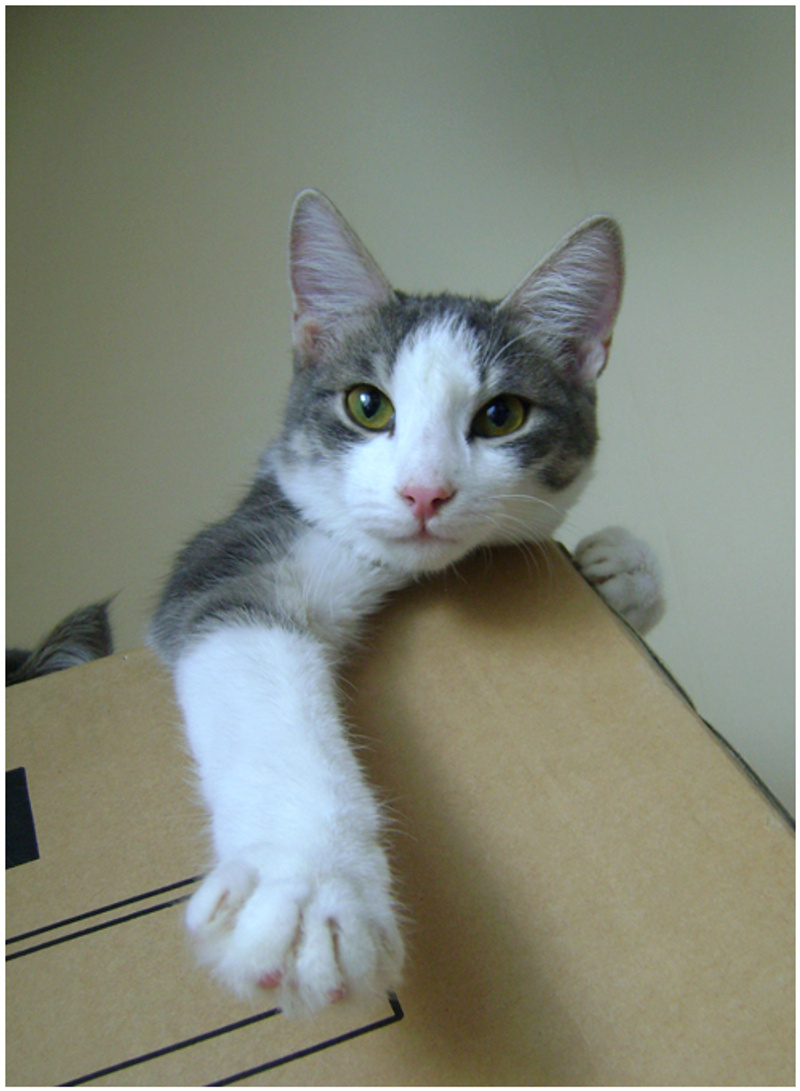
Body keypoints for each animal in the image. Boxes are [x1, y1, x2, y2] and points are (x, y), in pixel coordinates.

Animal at [150, 189, 663, 1014]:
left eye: (502, 415)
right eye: (367, 405)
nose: (426, 491)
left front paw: (620, 566)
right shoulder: (233, 556)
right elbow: (251, 655)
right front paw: (312, 888)